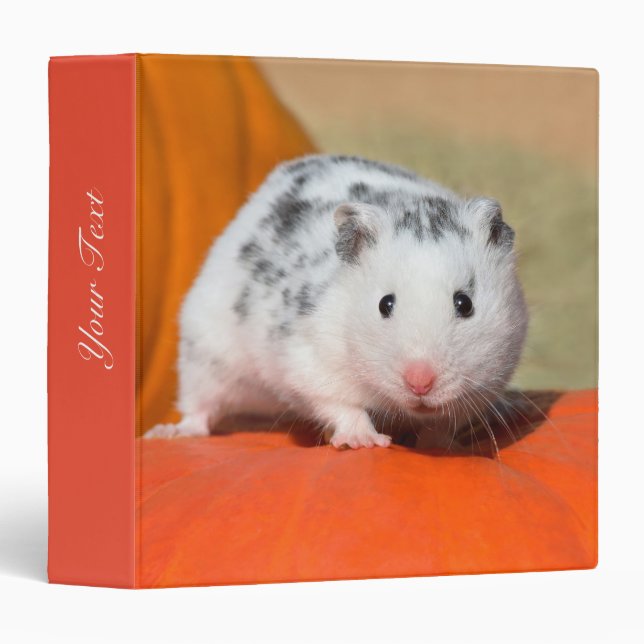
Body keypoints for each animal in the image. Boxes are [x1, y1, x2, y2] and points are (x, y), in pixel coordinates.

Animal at [145, 154, 528, 449]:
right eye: (385, 304)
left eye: (465, 304)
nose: (420, 383)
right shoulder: (310, 363)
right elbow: (341, 405)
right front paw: (364, 442)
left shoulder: (488, 381)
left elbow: (442, 424)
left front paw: (442, 447)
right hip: (205, 352)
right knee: (199, 408)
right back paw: (168, 433)